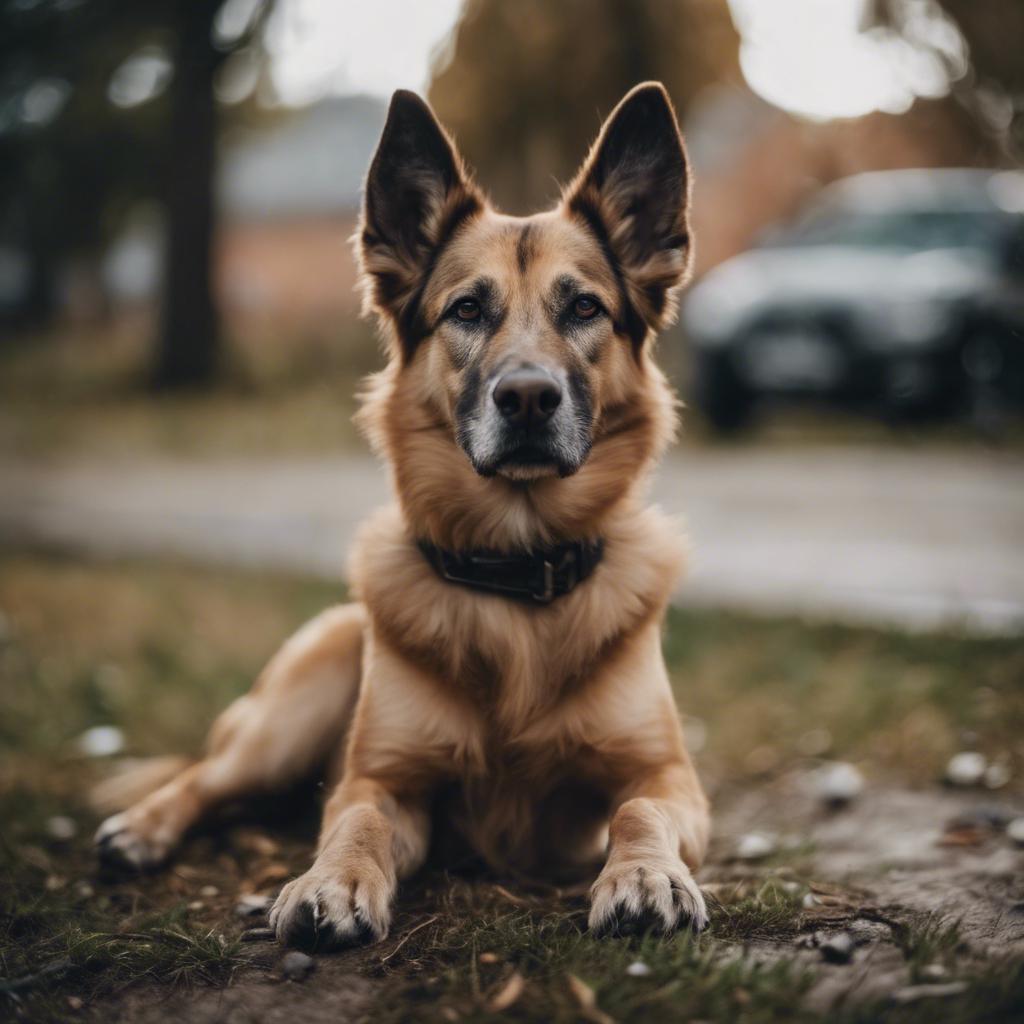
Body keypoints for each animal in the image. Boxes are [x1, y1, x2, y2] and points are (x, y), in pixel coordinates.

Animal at [94, 81, 712, 950]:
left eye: (586, 307)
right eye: (467, 310)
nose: (528, 398)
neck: (517, 577)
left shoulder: (666, 774)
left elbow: (639, 809)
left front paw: (646, 873)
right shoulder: (380, 779)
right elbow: (358, 823)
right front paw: (330, 882)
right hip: (287, 720)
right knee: (205, 780)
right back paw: (143, 830)